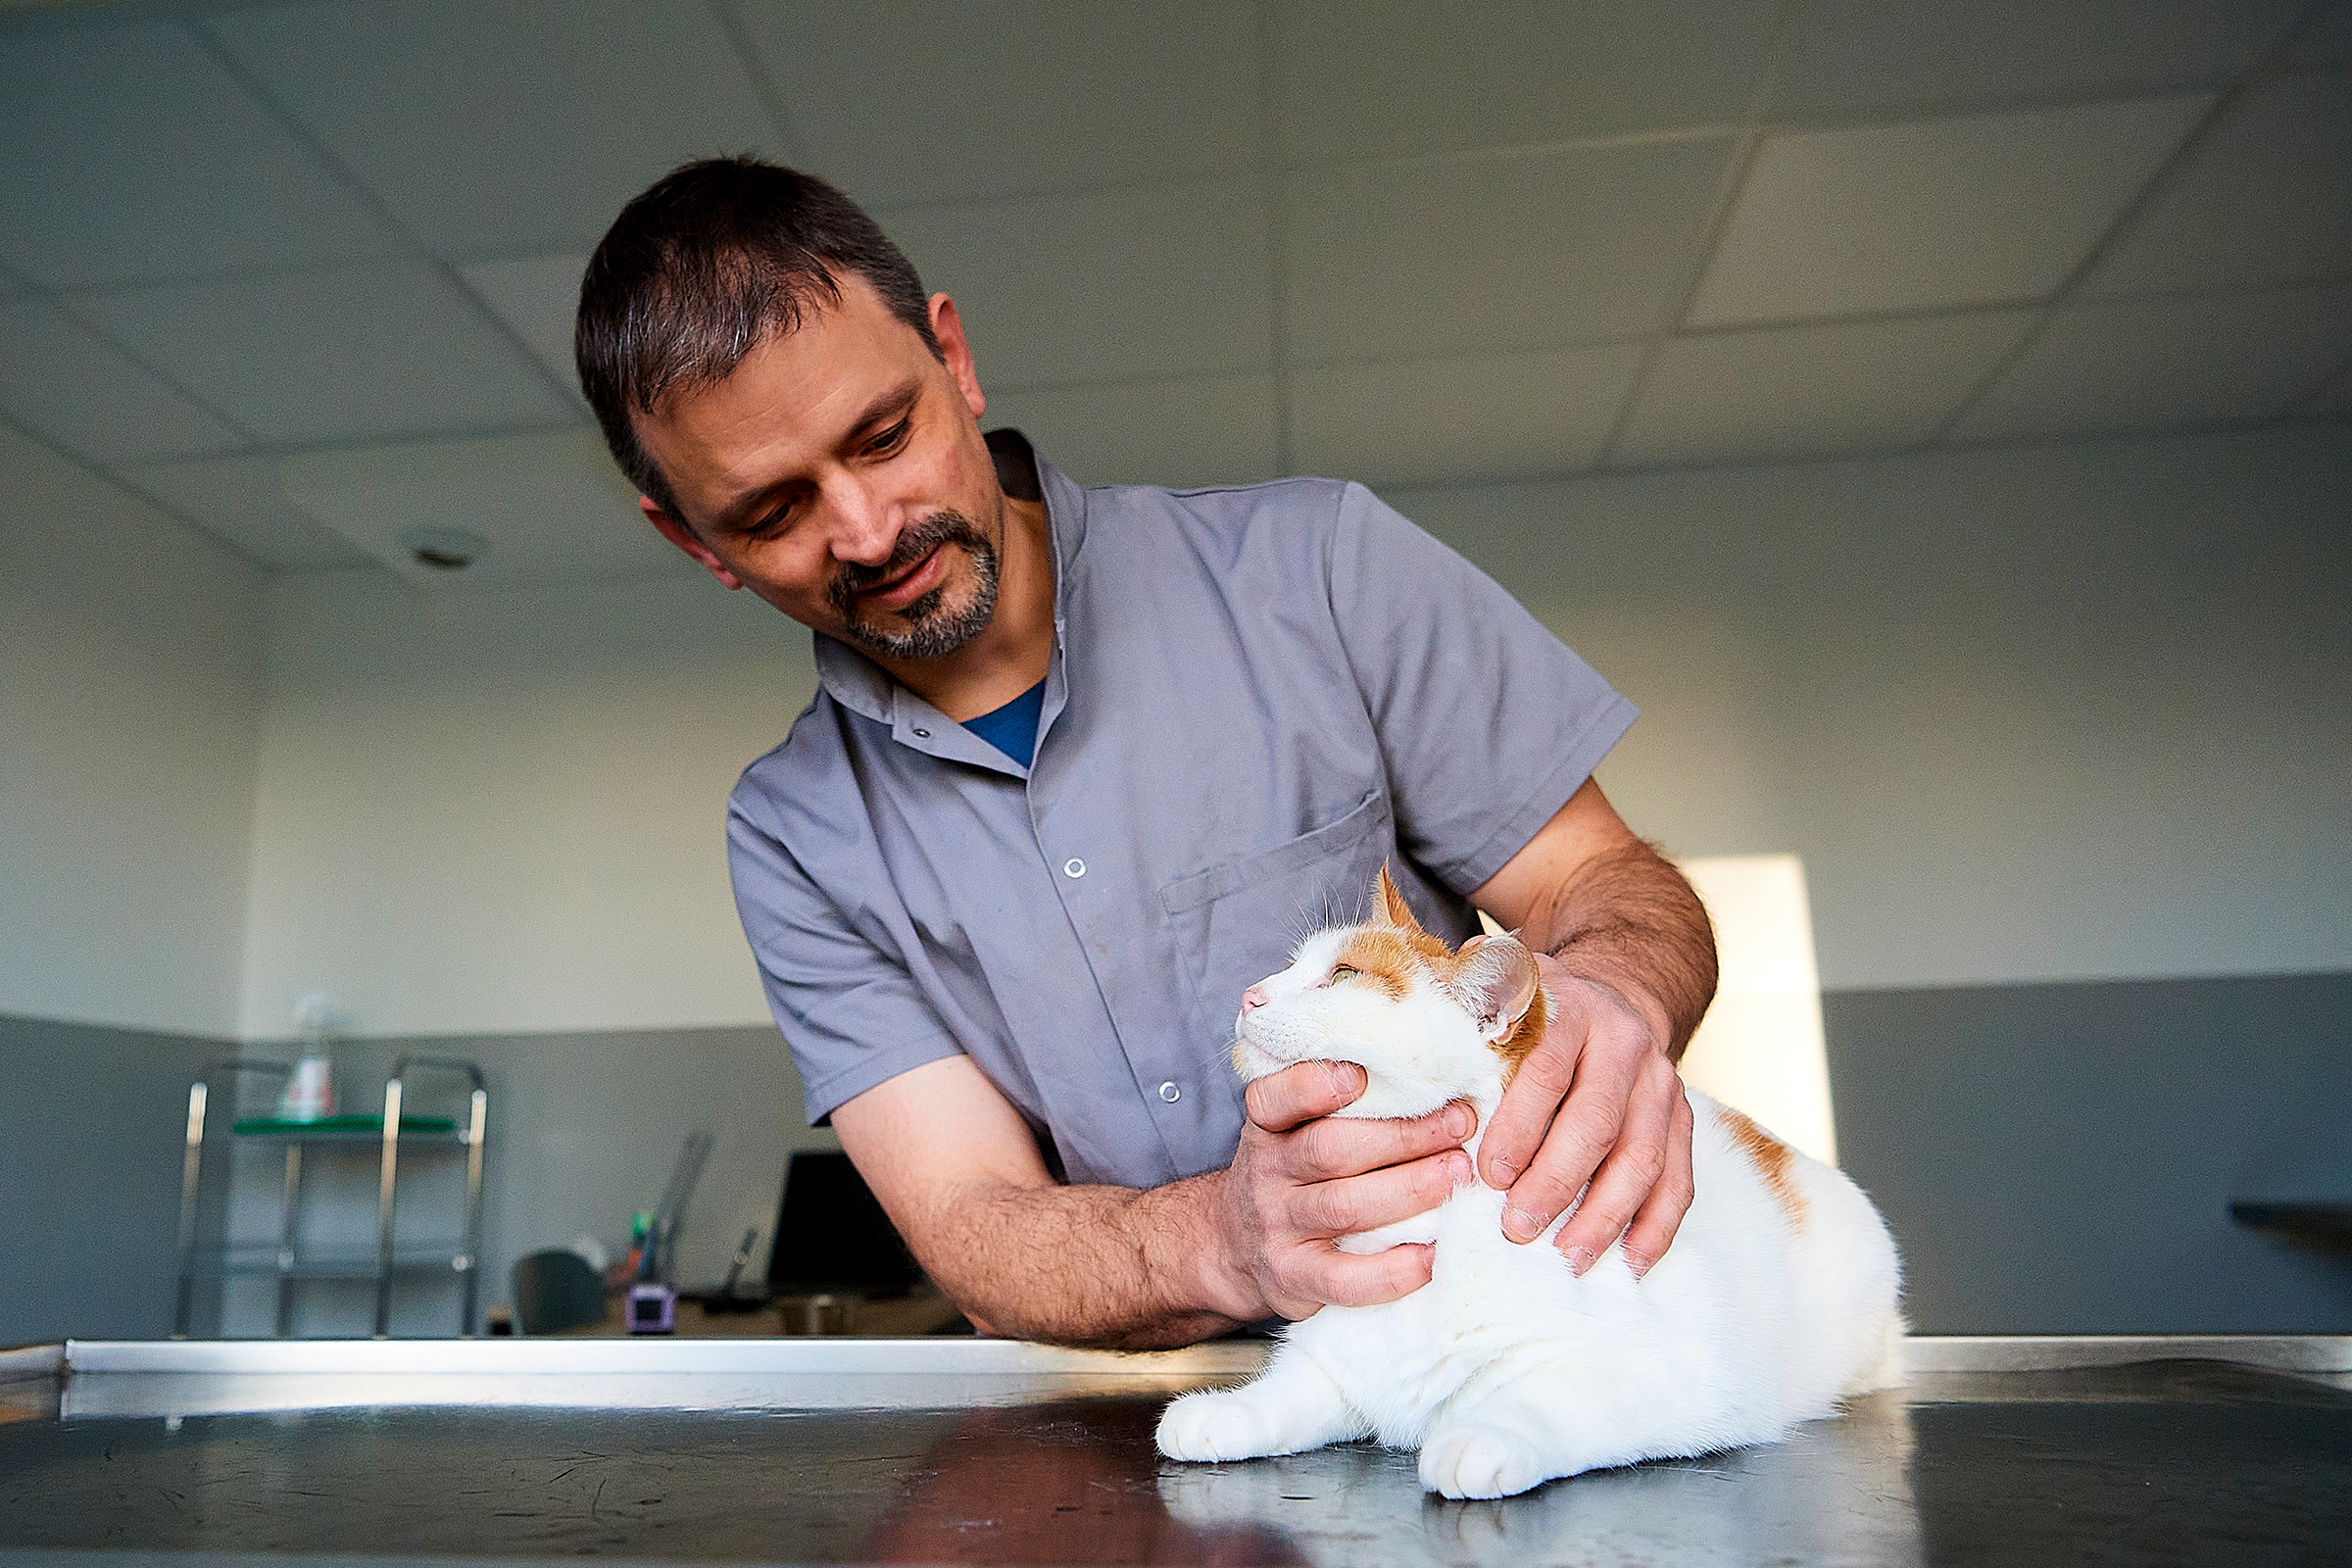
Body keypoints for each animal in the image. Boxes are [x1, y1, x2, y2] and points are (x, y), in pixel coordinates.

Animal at [1156, 869, 1909, 1494]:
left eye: (1341, 976)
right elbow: (1296, 1388)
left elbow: (1547, 1398)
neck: (1421, 1228)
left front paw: (1482, 1438)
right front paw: (1227, 1412)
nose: (1250, 996)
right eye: (1292, 966)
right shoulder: (1338, 1358)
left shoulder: (1678, 1380)